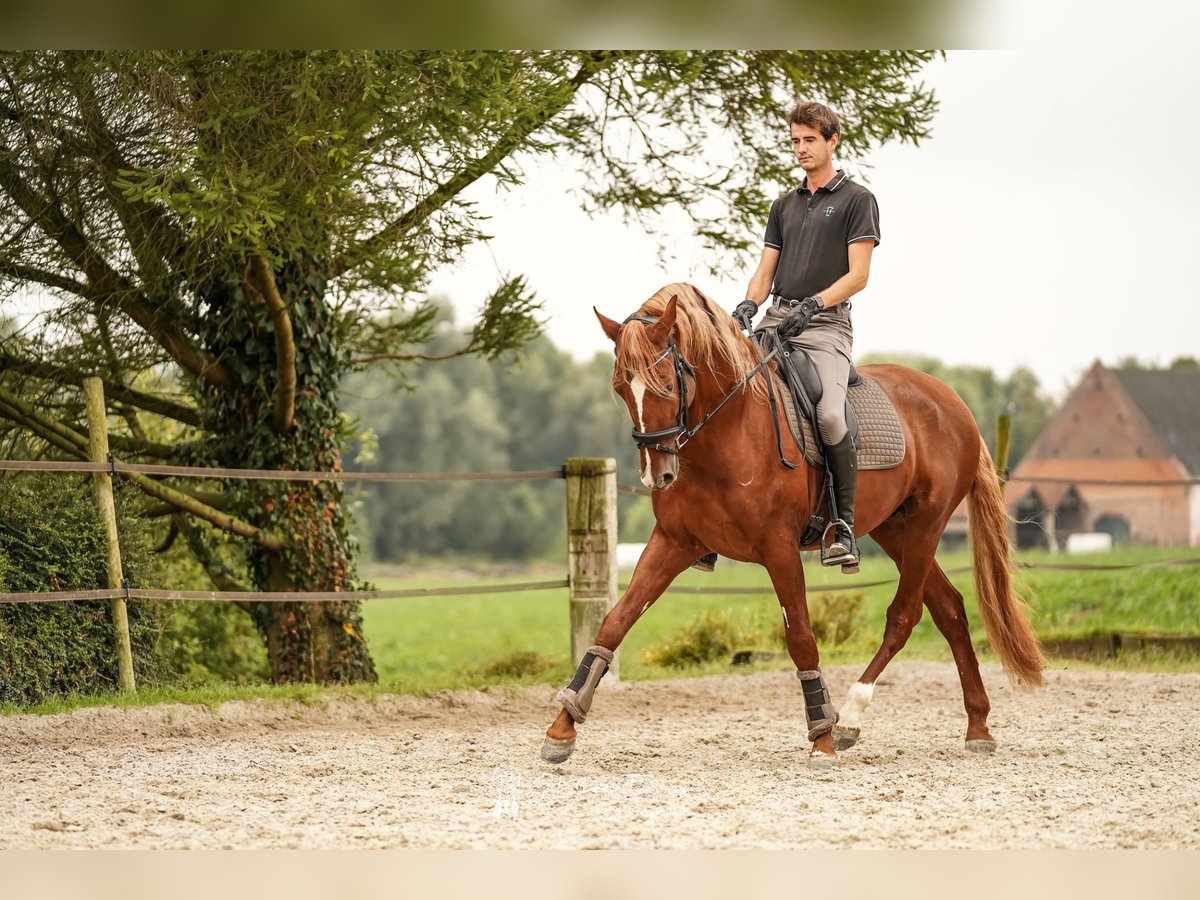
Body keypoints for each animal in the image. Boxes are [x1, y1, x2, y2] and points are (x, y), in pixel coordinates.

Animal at [544, 282, 1041, 768]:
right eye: (620, 389)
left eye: (666, 385)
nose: (657, 476)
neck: (729, 431)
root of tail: (952, 400)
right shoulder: (674, 542)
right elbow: (615, 621)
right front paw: (562, 728)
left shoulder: (778, 549)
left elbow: (800, 636)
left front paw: (821, 736)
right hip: (893, 529)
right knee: (950, 609)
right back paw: (977, 727)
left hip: (926, 524)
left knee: (905, 615)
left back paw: (849, 719)